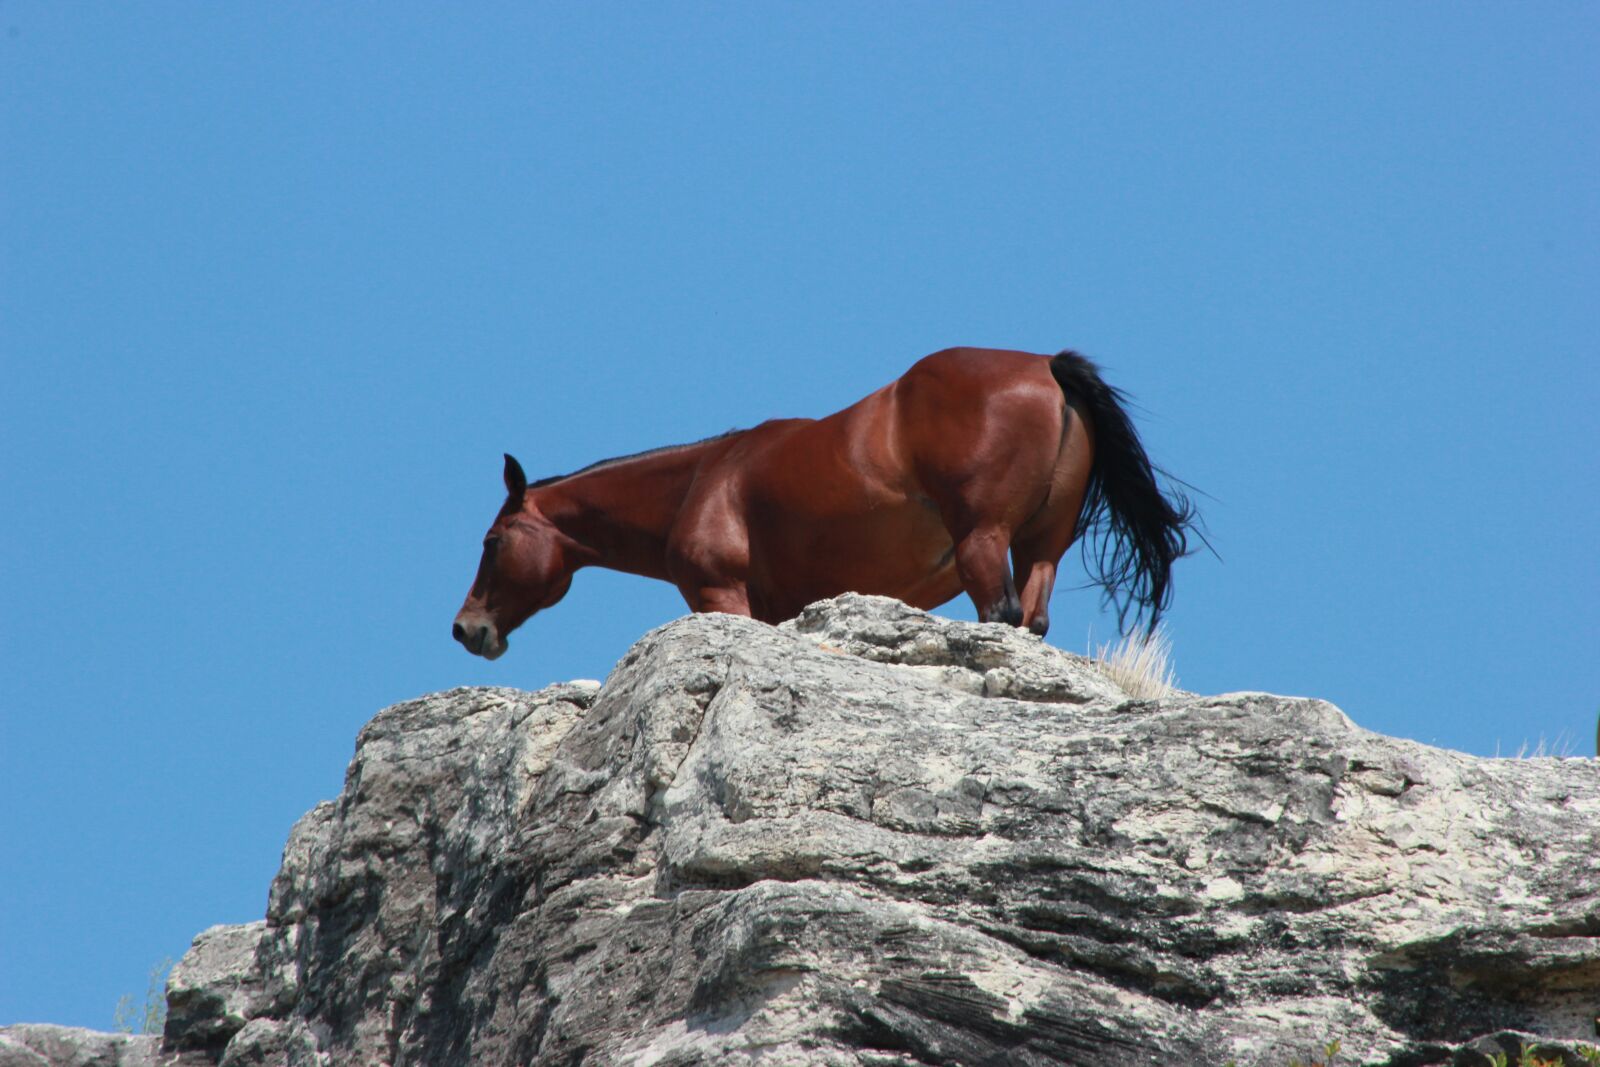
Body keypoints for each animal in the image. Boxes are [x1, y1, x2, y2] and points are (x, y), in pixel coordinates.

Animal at [453, 347, 1197, 660]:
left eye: (492, 542)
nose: (467, 628)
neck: (705, 478)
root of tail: (1046, 364)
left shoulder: (723, 595)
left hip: (984, 541)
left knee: (1003, 616)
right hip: (1040, 545)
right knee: (1033, 619)